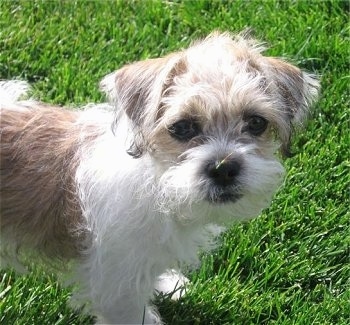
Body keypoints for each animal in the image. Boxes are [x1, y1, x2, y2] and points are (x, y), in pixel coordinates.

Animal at [0, 31, 318, 322]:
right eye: (182, 127)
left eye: (256, 123)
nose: (223, 167)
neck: (158, 183)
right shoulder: (118, 290)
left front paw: (165, 284)